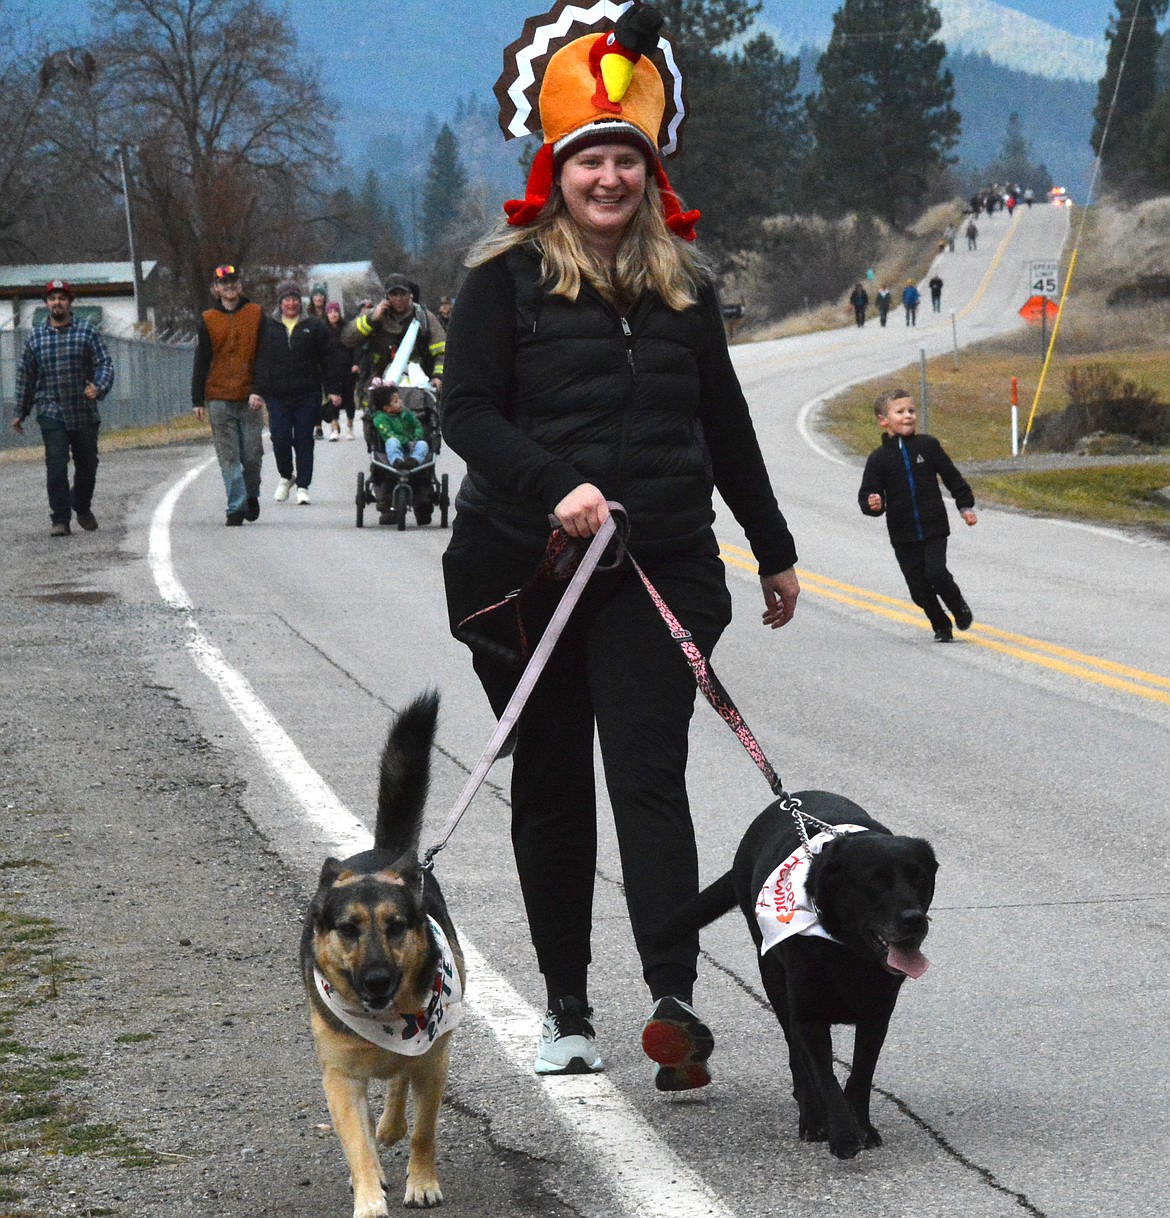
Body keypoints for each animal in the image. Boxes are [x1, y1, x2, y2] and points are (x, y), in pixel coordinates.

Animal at [299, 691, 462, 1213]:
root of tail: (385, 853)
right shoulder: (340, 1080)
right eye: (348, 929)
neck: (384, 1018)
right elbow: (358, 1144)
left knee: (398, 1084)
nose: (376, 980)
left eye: (395, 928)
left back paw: (394, 1125)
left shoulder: (433, 1062)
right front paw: (369, 1196)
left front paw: (423, 1181)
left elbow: (424, 1131)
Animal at [652, 789, 935, 1159]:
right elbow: (823, 1074)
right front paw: (842, 1133)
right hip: (774, 980)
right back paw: (812, 1118)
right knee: (797, 1058)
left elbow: (861, 1073)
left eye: (920, 878)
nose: (915, 920)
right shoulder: (808, 1016)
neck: (848, 952)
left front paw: (862, 1125)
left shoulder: (877, 1015)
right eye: (875, 880)